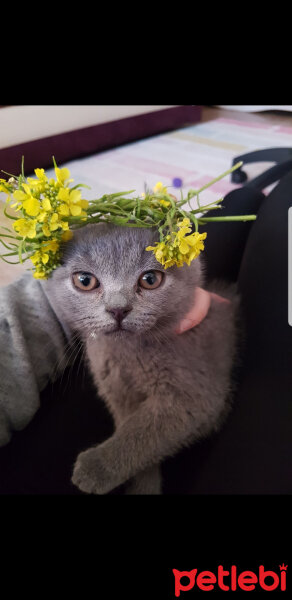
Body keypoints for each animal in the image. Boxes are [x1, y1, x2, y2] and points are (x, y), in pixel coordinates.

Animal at [42, 223, 240, 494]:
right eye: (85, 281)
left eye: (150, 280)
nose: (118, 309)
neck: (127, 356)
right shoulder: (116, 389)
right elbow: (131, 426)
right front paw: (143, 484)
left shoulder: (194, 394)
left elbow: (142, 434)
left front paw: (97, 468)